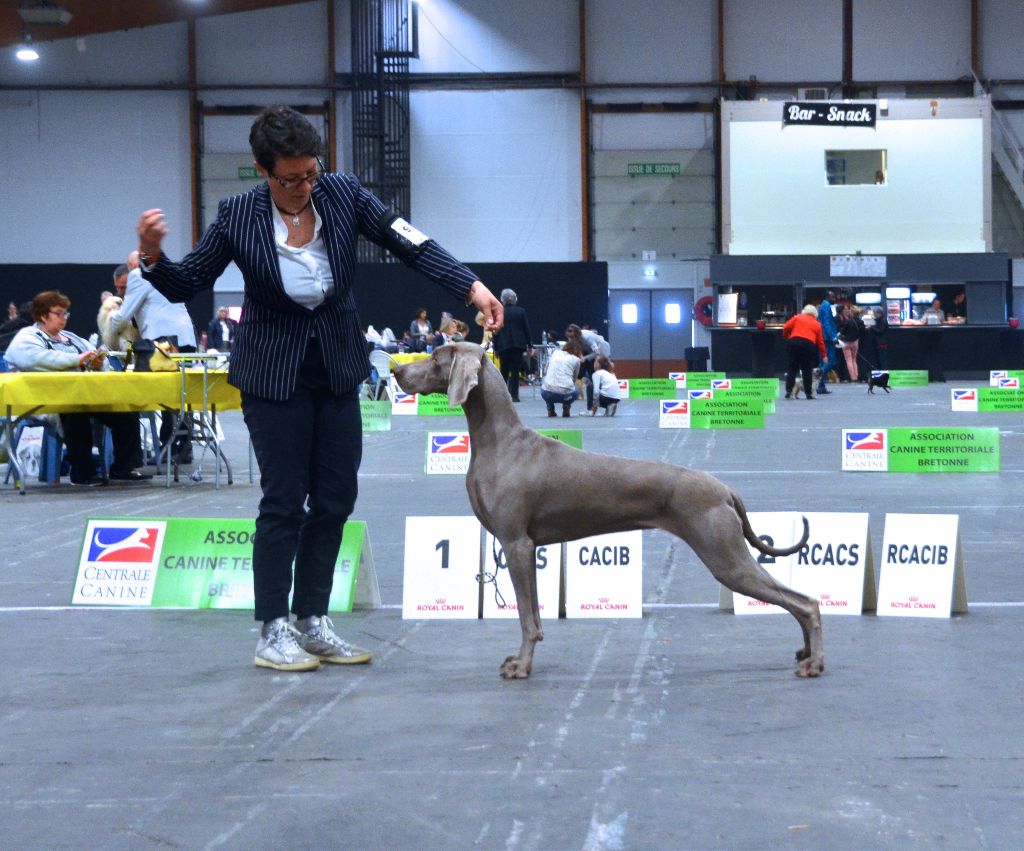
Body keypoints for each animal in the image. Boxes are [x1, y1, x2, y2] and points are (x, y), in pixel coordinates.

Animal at [391, 342, 823, 684]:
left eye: (435, 357)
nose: (395, 371)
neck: (500, 442)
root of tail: (725, 489)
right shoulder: (525, 548)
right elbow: (536, 617)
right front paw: (522, 658)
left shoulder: (516, 544)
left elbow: (527, 618)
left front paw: (522, 666)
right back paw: (806, 654)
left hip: (726, 558)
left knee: (806, 603)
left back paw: (814, 662)